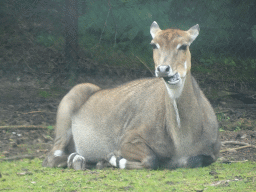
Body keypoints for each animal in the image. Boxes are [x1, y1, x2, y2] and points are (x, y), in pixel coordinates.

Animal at [42, 21, 220, 170]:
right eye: (154, 45)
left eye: (184, 46)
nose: (163, 69)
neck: (181, 141)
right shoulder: (126, 141)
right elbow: (151, 159)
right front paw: (113, 158)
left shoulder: (212, 153)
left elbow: (193, 160)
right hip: (67, 116)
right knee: (50, 157)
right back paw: (77, 160)